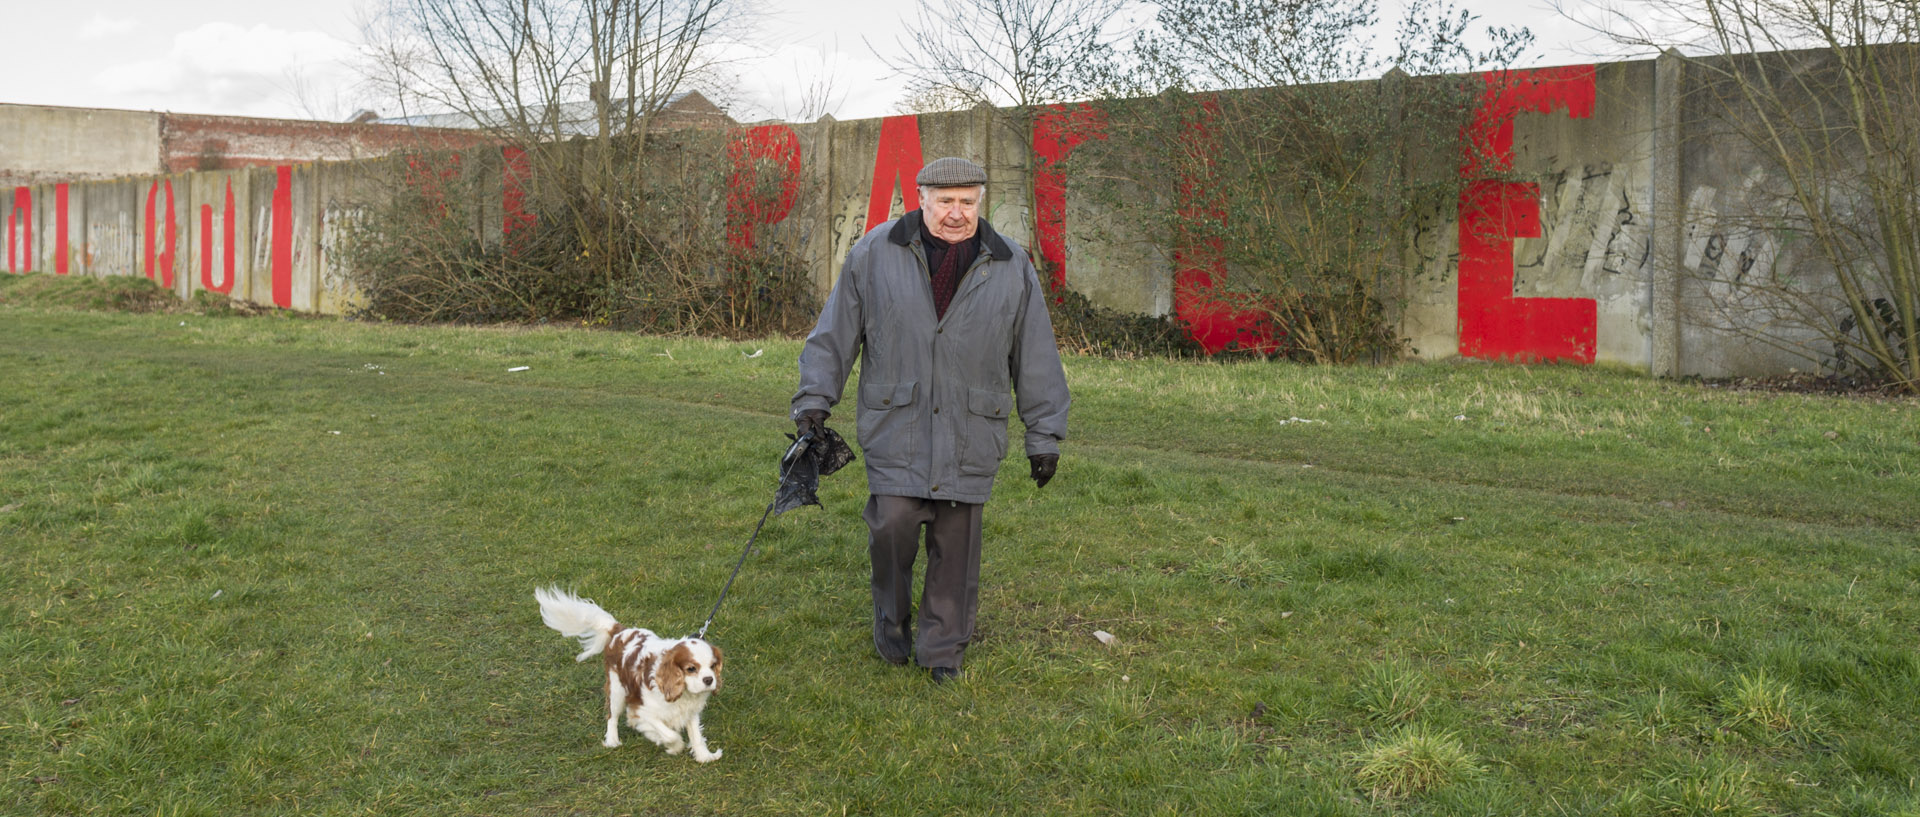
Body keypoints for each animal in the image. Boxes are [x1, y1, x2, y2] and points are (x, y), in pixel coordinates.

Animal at [533, 586, 725, 759]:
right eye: (691, 669)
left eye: (713, 666)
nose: (709, 680)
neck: (683, 693)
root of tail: (619, 631)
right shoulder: (642, 710)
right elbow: (669, 734)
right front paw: (674, 747)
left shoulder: (690, 712)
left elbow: (696, 735)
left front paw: (705, 757)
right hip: (617, 690)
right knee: (612, 716)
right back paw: (612, 740)